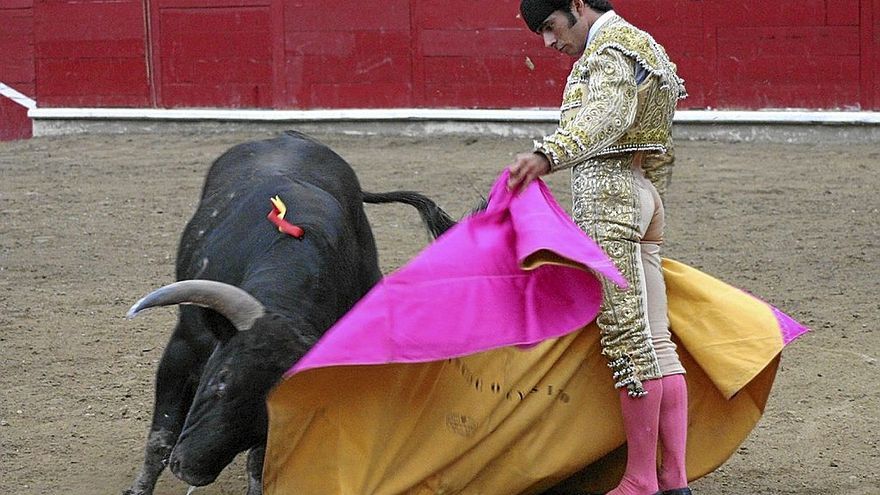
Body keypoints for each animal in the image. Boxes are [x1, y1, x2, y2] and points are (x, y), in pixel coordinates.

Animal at [124, 132, 458, 495]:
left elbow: (259, 461)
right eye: (221, 379)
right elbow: (161, 434)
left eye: (268, 415)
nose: (191, 470)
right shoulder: (185, 346)